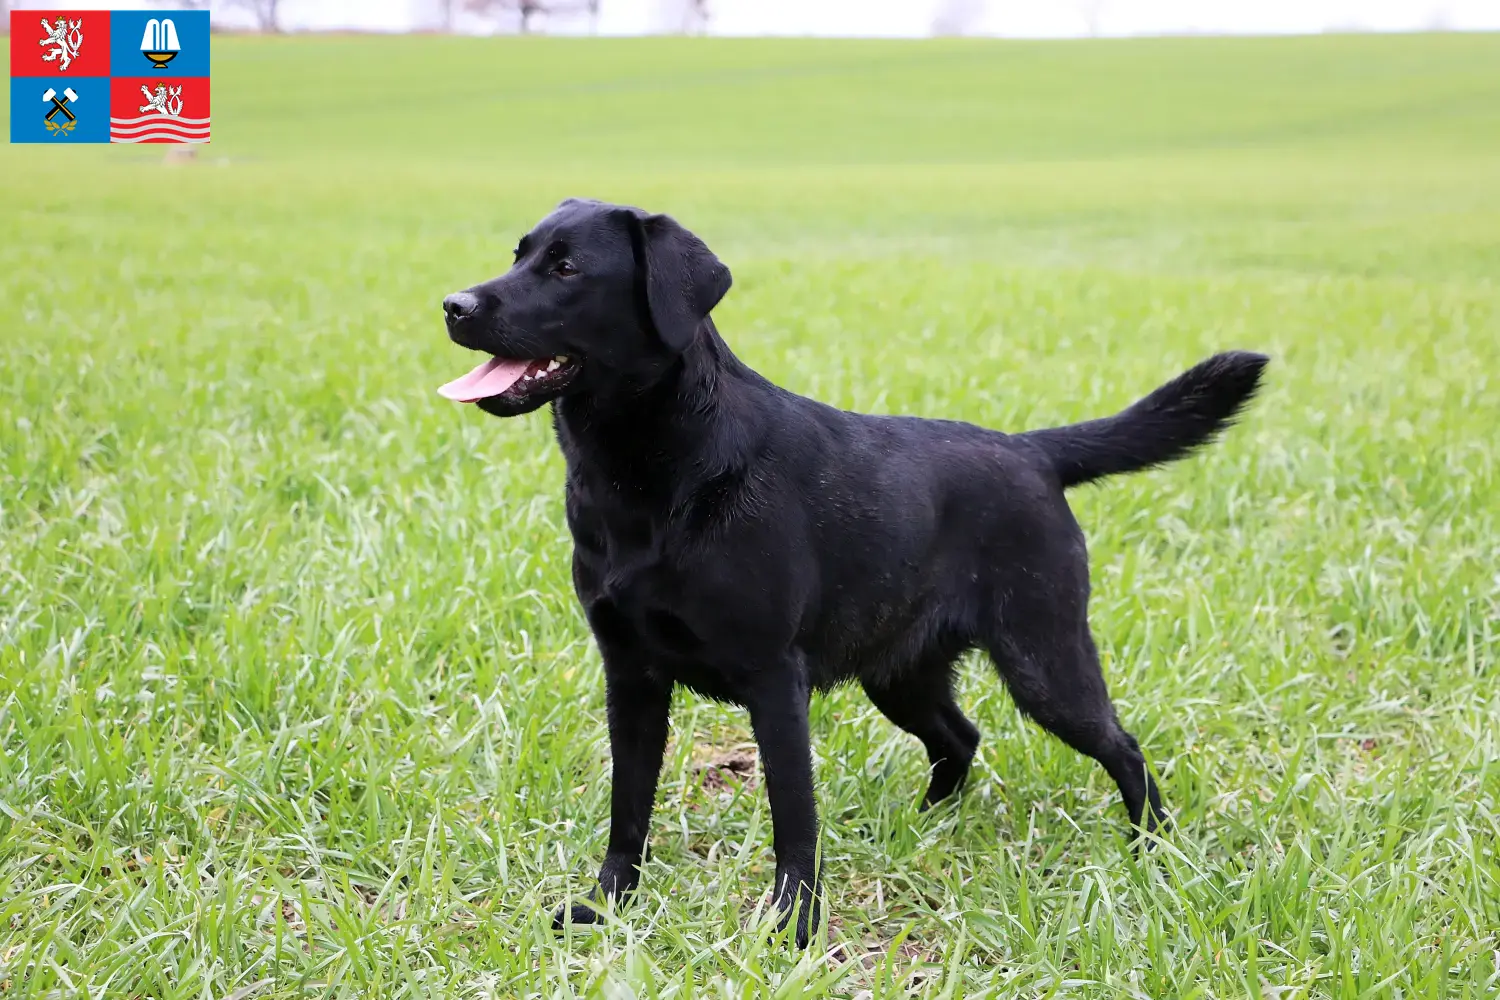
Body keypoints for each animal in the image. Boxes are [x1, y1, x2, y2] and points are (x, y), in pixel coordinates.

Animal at [438, 197, 1266, 947]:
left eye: (567, 267)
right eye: (518, 255)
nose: (452, 304)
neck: (651, 471)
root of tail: (1031, 450)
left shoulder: (774, 681)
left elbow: (793, 818)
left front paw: (793, 926)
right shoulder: (630, 675)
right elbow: (628, 806)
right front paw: (607, 905)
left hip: (1045, 662)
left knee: (1122, 747)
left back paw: (1151, 847)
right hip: (900, 673)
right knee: (960, 737)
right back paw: (925, 827)